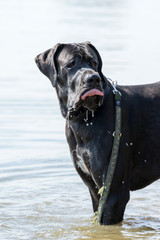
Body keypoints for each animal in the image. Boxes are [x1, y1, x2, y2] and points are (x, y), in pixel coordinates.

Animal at [35, 41, 160, 225]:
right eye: (71, 64)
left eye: (94, 63)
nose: (93, 78)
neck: (84, 118)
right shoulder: (95, 190)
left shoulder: (114, 194)